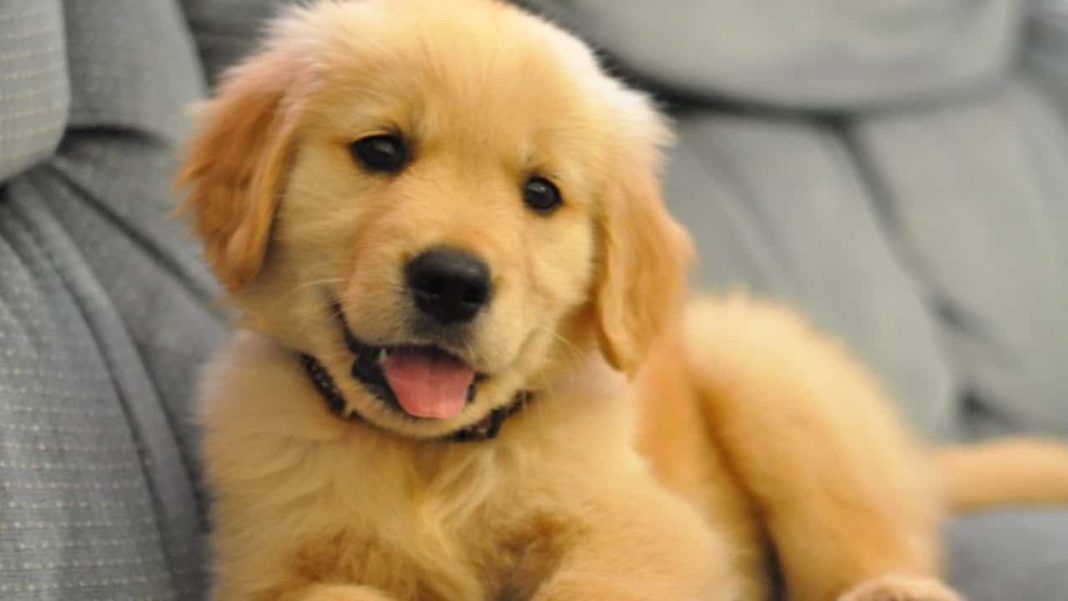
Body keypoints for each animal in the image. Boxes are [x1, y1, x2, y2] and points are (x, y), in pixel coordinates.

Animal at [178, 1, 1068, 599]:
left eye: (541, 194)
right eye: (380, 150)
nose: (453, 280)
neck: (430, 457)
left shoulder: (652, 528)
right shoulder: (271, 562)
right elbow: (336, 587)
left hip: (762, 373)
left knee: (877, 549)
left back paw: (893, 585)